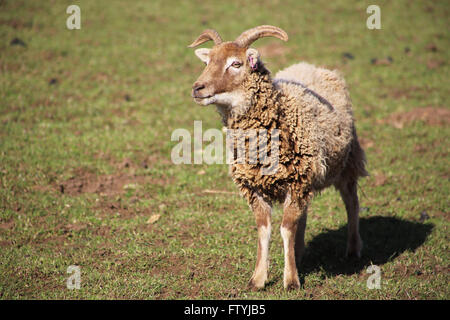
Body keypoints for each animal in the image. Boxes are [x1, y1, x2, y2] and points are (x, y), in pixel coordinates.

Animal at [188, 25, 368, 290]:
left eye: (236, 63)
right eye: (207, 61)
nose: (197, 88)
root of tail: (313, 66)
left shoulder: (296, 181)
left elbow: (285, 229)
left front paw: (291, 281)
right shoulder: (256, 187)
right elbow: (265, 230)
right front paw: (258, 279)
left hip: (346, 162)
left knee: (351, 203)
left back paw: (353, 249)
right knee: (304, 214)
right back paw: (299, 252)